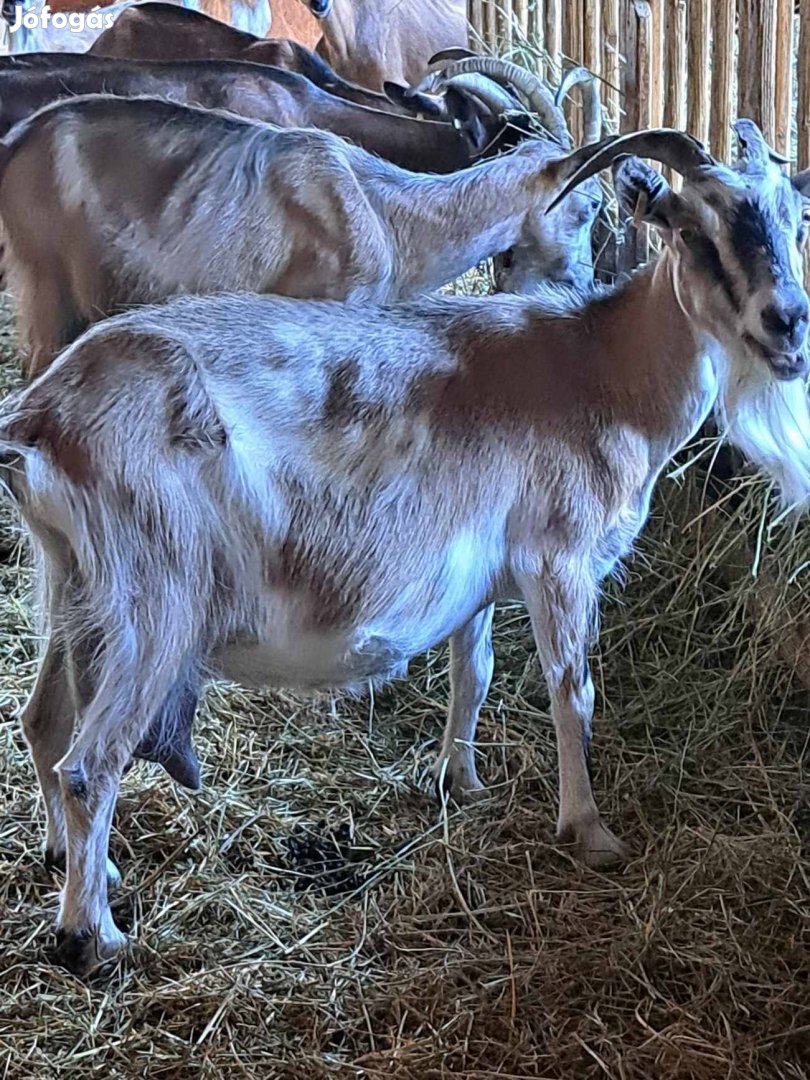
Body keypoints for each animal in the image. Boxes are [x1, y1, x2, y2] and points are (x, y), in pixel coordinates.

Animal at [1, 120, 810, 980]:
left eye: (796, 222)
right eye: (692, 229)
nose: (787, 323)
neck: (604, 370)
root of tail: (38, 422)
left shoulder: (483, 574)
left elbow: (473, 673)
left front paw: (462, 780)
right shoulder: (558, 560)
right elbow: (573, 693)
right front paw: (590, 831)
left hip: (75, 584)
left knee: (43, 720)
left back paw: (78, 863)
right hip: (155, 605)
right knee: (90, 765)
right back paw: (93, 934)